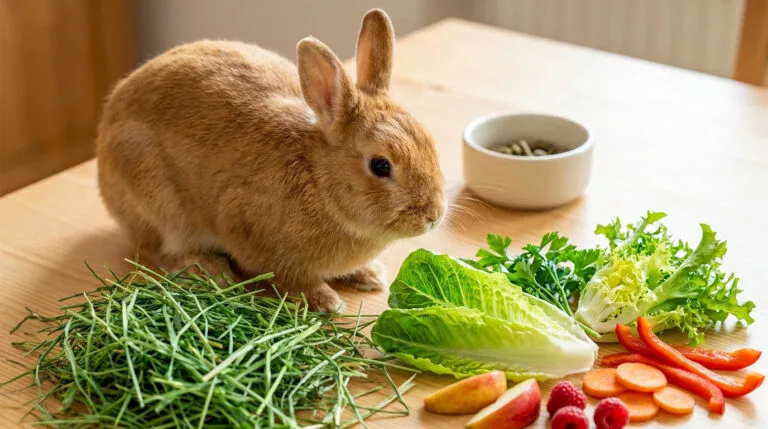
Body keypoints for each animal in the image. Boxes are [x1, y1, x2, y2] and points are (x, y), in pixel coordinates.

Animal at [95, 9, 446, 312]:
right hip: (157, 200)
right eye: (380, 166)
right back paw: (211, 270)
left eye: (429, 141)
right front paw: (326, 301)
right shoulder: (248, 230)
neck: (319, 180)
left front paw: (370, 274)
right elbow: (290, 277)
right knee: (162, 252)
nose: (433, 216)